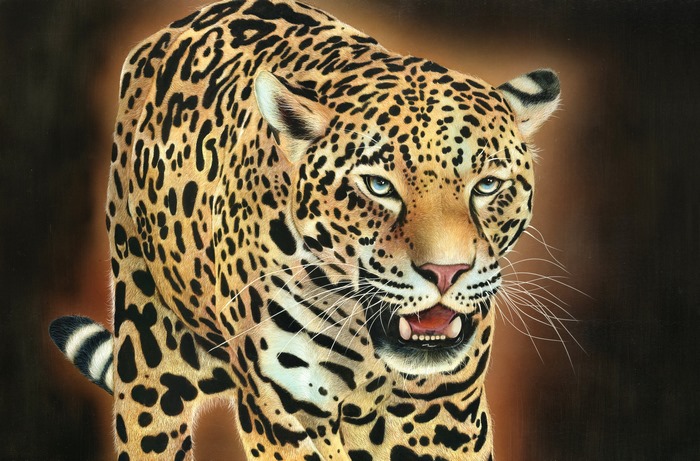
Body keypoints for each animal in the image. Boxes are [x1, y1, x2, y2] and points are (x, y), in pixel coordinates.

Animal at [49, 0, 560, 459]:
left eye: (487, 184)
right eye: (378, 185)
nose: (445, 273)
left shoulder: (446, 412)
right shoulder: (282, 410)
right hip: (147, 353)